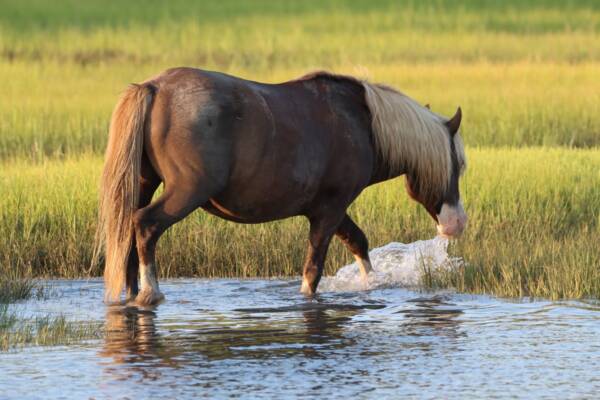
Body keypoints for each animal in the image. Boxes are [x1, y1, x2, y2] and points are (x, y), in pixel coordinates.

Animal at [94, 69, 468, 306]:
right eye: (459, 165)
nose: (456, 224)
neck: (364, 125)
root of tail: (155, 87)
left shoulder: (329, 209)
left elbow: (359, 243)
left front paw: (371, 285)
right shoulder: (330, 210)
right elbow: (313, 269)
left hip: (144, 184)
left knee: (129, 231)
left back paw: (132, 292)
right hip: (185, 192)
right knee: (145, 225)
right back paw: (150, 292)